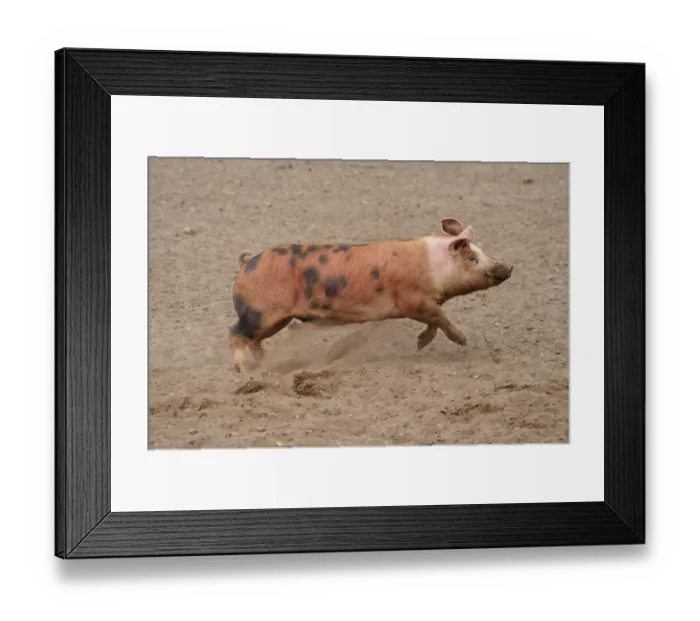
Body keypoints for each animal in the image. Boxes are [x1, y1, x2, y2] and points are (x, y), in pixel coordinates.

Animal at [228, 217, 512, 371]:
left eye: (482, 251)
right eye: (473, 258)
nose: (508, 267)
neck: (432, 266)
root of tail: (245, 265)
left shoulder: (423, 303)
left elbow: (434, 321)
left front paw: (420, 344)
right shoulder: (413, 301)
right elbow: (440, 317)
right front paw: (462, 340)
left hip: (273, 319)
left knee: (254, 341)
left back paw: (266, 364)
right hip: (261, 313)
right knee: (235, 333)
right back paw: (244, 371)